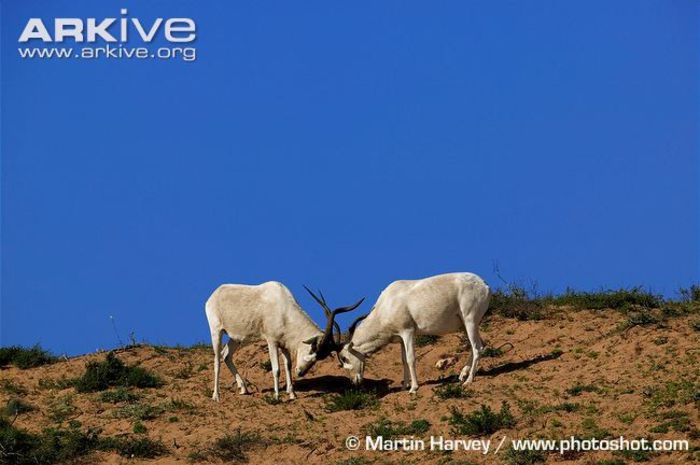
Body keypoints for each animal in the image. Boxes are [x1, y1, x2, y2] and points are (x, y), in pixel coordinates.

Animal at [205, 280, 364, 400]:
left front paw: (292, 394)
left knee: (226, 355)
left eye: (319, 359)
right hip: (216, 331)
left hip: (236, 338)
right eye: (312, 350)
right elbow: (276, 369)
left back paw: (243, 388)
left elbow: (287, 365)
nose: (300, 373)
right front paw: (276, 396)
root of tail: (214, 294)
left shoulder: (284, 345)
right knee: (217, 359)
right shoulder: (272, 342)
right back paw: (216, 396)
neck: (283, 308)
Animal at [336, 272, 490, 392]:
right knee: (479, 345)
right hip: (465, 325)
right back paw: (463, 374)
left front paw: (414, 388)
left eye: (344, 358)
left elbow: (411, 359)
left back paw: (469, 380)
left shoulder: (408, 332)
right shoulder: (400, 338)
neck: (387, 304)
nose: (354, 382)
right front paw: (405, 386)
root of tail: (484, 284)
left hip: (470, 321)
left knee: (477, 347)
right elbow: (403, 360)